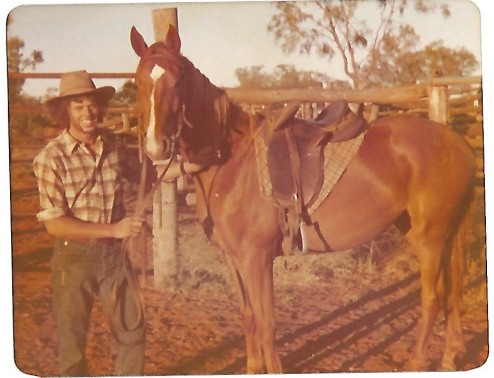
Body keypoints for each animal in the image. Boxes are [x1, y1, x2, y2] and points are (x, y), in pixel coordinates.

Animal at [129, 25, 476, 374]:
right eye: (140, 82)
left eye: (178, 81)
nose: (157, 147)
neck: (232, 160)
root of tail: (456, 142)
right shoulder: (232, 257)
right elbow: (249, 318)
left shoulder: (256, 259)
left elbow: (267, 324)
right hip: (435, 233)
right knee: (451, 292)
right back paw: (449, 356)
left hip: (430, 238)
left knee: (432, 298)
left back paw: (417, 362)